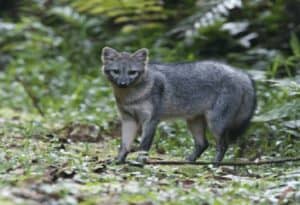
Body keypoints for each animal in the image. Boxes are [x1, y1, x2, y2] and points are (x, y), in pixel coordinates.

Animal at [100, 46, 255, 163]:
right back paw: (190, 161)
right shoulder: (128, 120)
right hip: (194, 123)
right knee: (203, 144)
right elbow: (124, 145)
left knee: (223, 145)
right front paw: (118, 161)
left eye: (132, 72)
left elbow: (143, 146)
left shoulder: (151, 121)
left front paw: (139, 163)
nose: (123, 84)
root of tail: (240, 72)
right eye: (116, 71)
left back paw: (214, 165)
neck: (132, 98)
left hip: (215, 124)